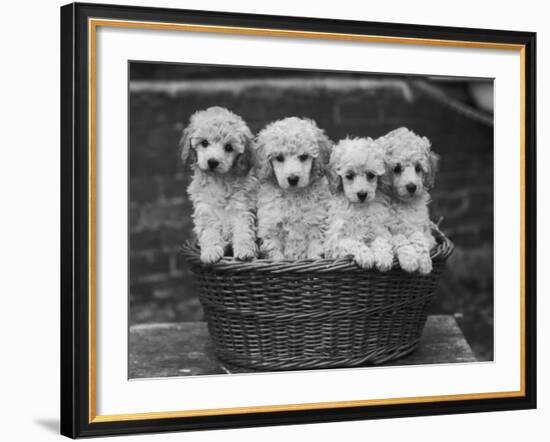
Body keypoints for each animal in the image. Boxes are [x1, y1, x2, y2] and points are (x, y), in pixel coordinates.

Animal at [181, 106, 258, 266]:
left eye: (228, 147)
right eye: (204, 143)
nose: (212, 161)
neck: (219, 180)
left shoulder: (242, 206)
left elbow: (243, 229)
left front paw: (245, 251)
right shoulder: (205, 209)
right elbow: (209, 232)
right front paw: (211, 252)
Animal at [254, 117, 332, 262]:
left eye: (303, 156)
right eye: (279, 158)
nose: (293, 178)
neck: (293, 195)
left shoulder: (316, 224)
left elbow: (315, 250)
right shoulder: (271, 227)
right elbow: (275, 253)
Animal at [326, 138, 394, 272]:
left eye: (371, 175)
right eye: (349, 176)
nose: (362, 194)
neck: (360, 209)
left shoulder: (379, 228)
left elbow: (382, 241)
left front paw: (384, 258)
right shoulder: (335, 240)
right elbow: (353, 243)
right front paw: (366, 256)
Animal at [382, 126, 442, 274]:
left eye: (418, 168)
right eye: (397, 168)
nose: (412, 187)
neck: (403, 204)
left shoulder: (423, 230)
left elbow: (419, 238)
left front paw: (425, 263)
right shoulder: (386, 230)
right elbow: (399, 238)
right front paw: (410, 260)